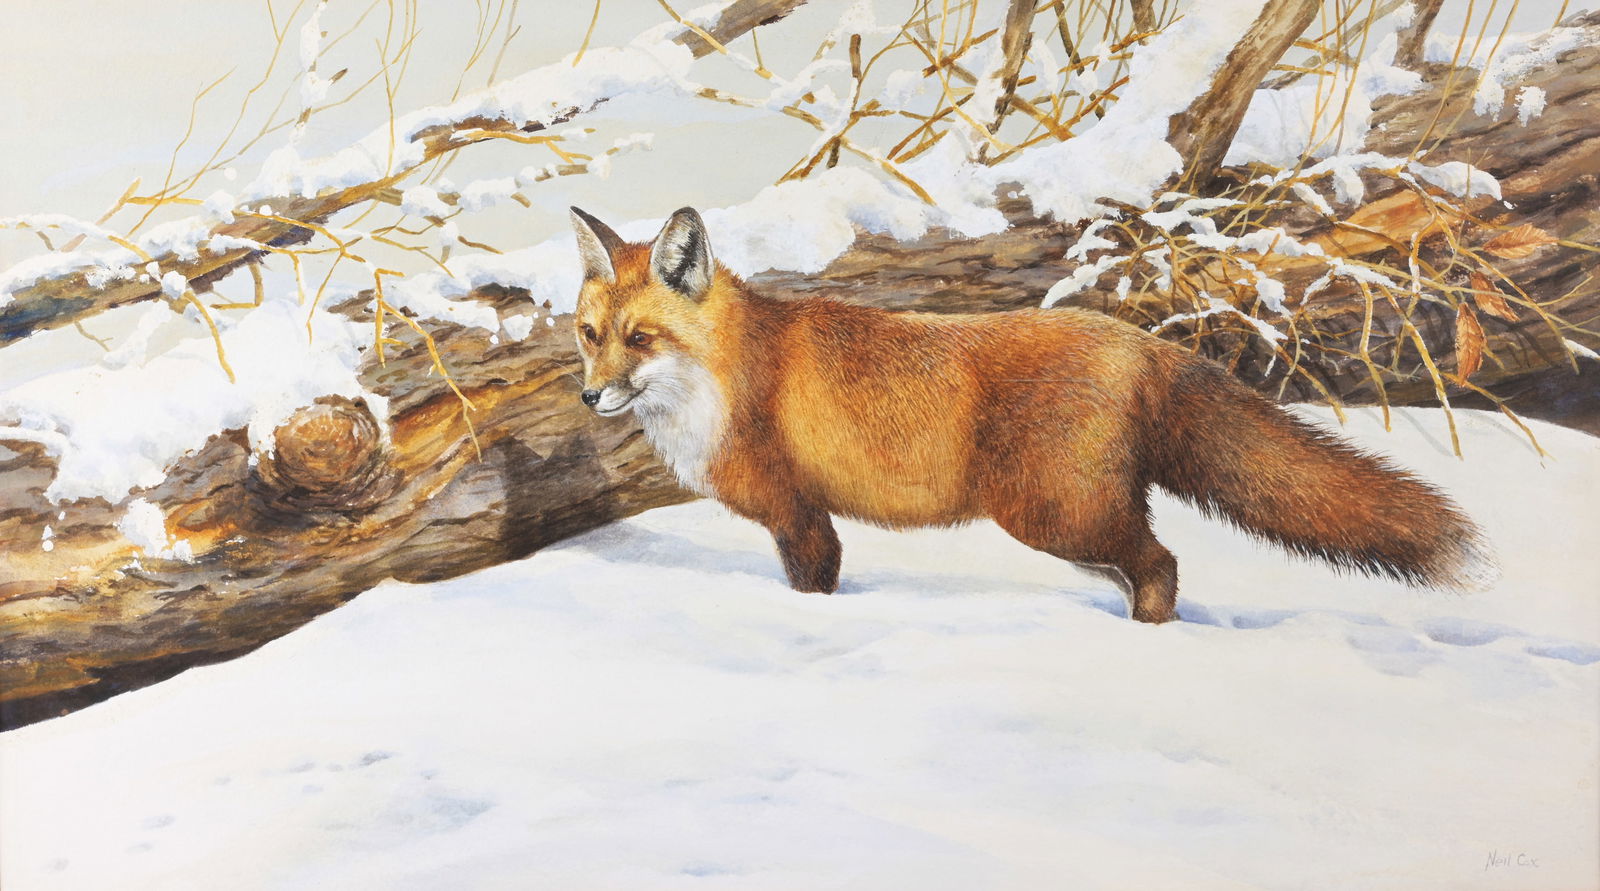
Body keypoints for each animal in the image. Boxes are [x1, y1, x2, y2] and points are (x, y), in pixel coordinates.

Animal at [568, 205, 1496, 623]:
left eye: (641, 339)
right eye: (588, 336)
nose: (587, 397)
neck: (727, 377)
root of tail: (1140, 341)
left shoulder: (802, 516)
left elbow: (815, 586)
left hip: (1054, 513)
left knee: (1162, 563)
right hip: (1076, 523)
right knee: (1147, 564)